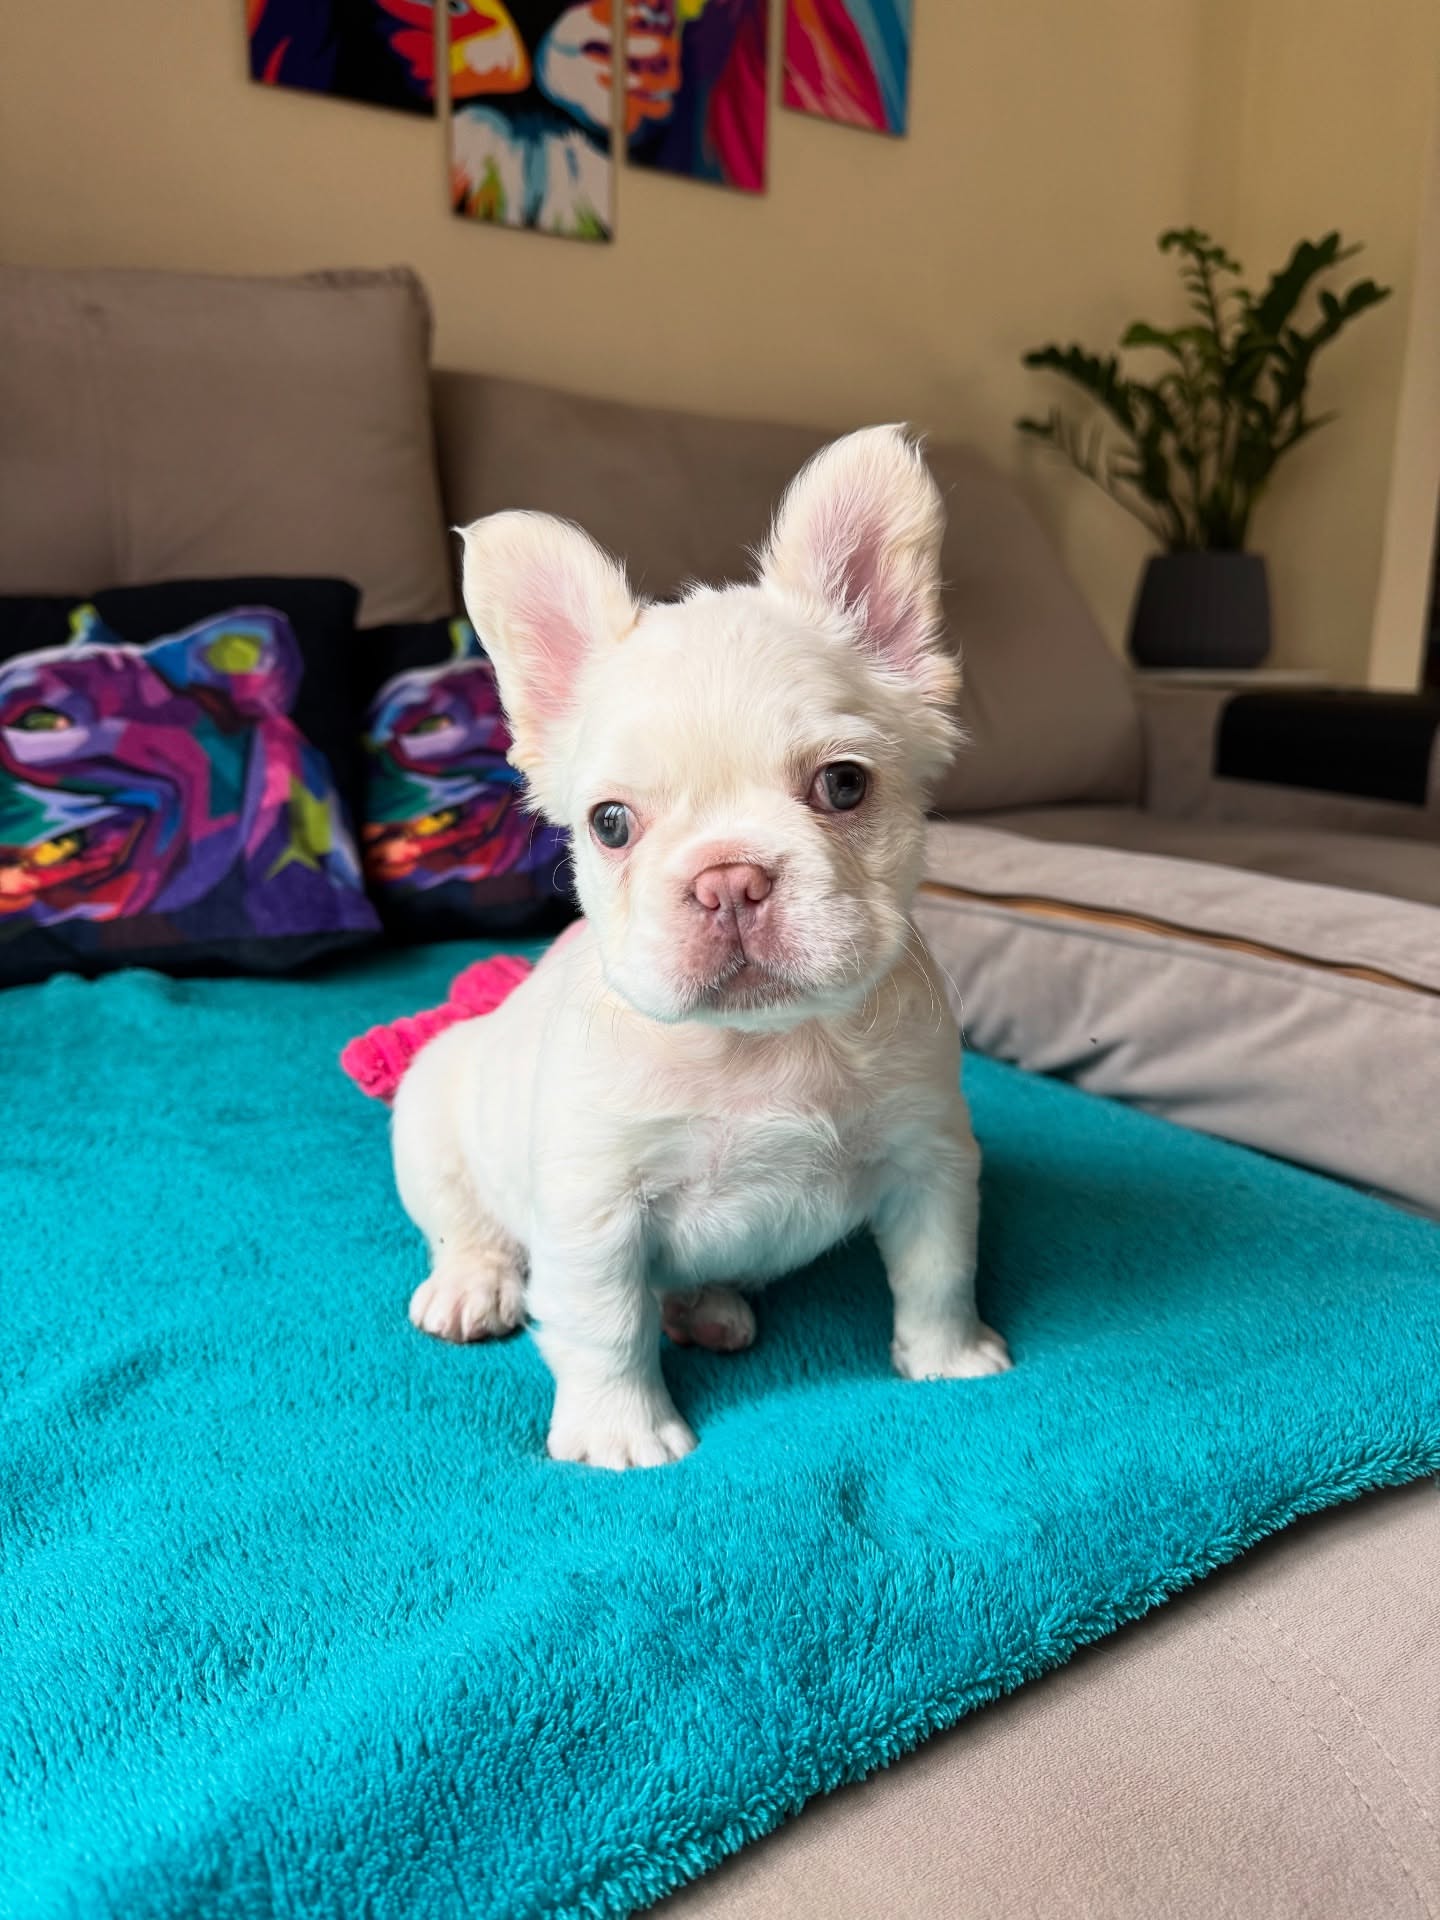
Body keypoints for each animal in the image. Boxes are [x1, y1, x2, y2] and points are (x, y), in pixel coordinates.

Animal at [390, 426, 1011, 1469]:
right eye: (610, 824)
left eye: (844, 785)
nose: (729, 879)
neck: (759, 1048)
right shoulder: (595, 1212)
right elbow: (604, 1325)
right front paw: (619, 1431)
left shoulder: (931, 1161)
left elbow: (937, 1270)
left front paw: (948, 1359)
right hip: (430, 1113)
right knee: (465, 1225)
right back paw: (475, 1284)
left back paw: (707, 1307)